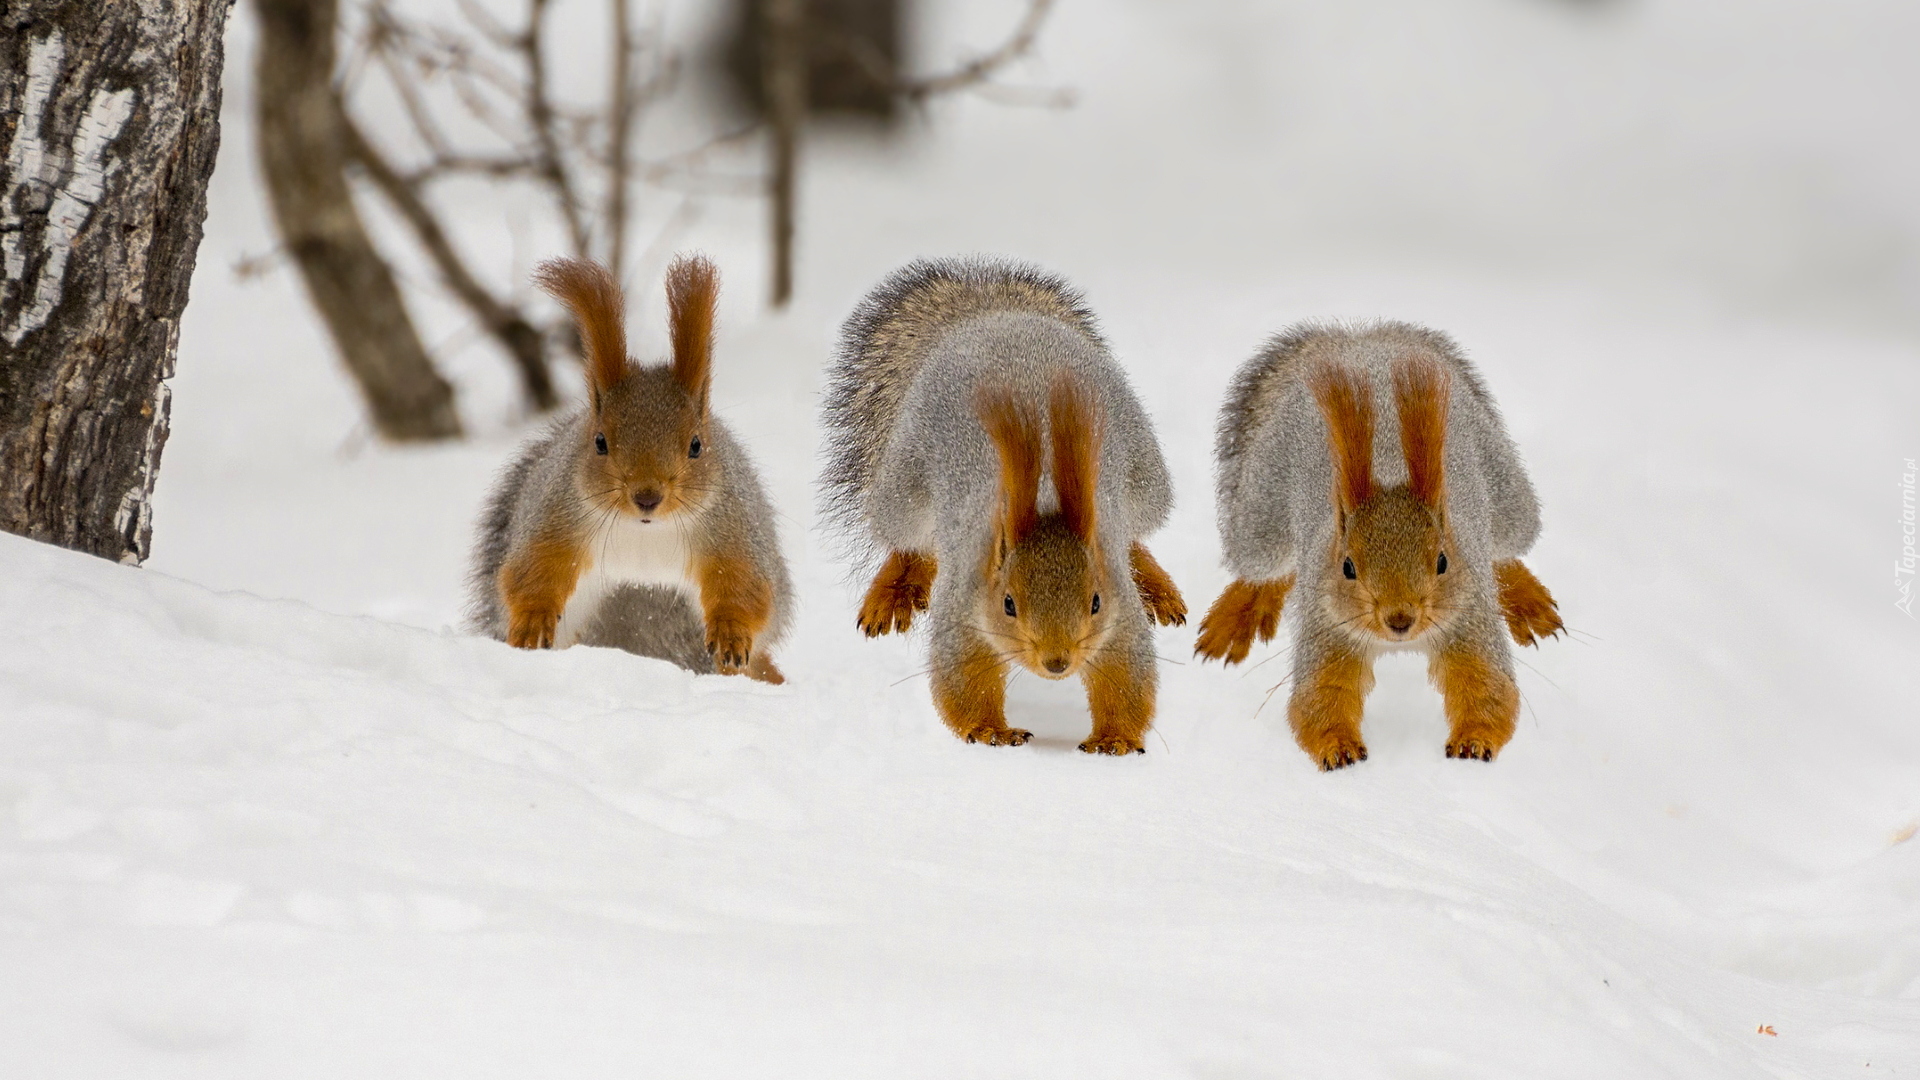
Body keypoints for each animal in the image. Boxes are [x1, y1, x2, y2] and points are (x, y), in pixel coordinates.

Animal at [468, 249, 791, 680]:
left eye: (696, 445)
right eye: (599, 442)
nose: (647, 497)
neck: (644, 533)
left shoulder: (731, 527)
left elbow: (746, 586)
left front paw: (731, 633)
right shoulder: (556, 517)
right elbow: (531, 572)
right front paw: (532, 620)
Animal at [821, 257, 1182, 753]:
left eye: (1094, 602)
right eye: (1008, 604)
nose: (1057, 663)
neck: (1045, 497)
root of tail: (989, 319)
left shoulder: (1119, 612)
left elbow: (1126, 674)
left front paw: (1116, 739)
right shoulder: (963, 601)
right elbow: (963, 676)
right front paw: (990, 729)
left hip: (1146, 479)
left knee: (1135, 534)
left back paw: (1157, 585)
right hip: (903, 487)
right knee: (910, 542)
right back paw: (893, 590)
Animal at [1190, 319, 1566, 764]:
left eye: (1443, 561)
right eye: (1348, 567)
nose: (1400, 619)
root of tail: (1363, 344)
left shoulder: (1470, 616)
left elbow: (1489, 687)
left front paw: (1475, 741)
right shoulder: (1326, 622)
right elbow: (1318, 696)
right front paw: (1338, 748)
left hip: (1506, 491)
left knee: (1506, 550)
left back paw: (1529, 603)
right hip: (1261, 513)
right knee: (1262, 568)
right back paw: (1236, 617)